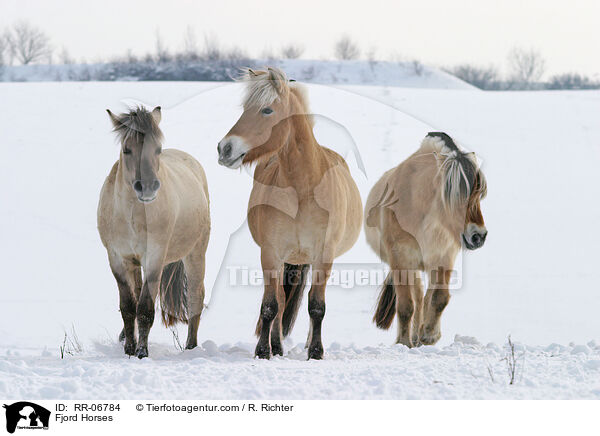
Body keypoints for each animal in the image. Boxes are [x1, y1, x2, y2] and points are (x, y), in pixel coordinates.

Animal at [98, 105, 211, 358]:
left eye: (157, 149)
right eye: (127, 150)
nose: (148, 187)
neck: (132, 215)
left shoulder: (154, 258)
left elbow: (145, 308)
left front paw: (142, 352)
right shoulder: (117, 259)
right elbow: (128, 306)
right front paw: (129, 348)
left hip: (195, 253)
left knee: (195, 298)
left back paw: (190, 347)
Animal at [219, 68, 364, 360]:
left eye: (266, 110)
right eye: (244, 108)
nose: (224, 148)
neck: (303, 188)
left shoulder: (323, 256)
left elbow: (317, 306)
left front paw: (316, 352)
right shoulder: (271, 253)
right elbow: (271, 305)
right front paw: (264, 350)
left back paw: (308, 344)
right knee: (282, 300)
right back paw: (277, 345)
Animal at [366, 133, 488, 348]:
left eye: (479, 195)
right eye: (456, 195)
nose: (478, 236)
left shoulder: (444, 257)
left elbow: (439, 298)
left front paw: (430, 335)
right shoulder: (402, 259)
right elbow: (406, 305)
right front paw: (404, 342)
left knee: (426, 297)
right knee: (417, 297)